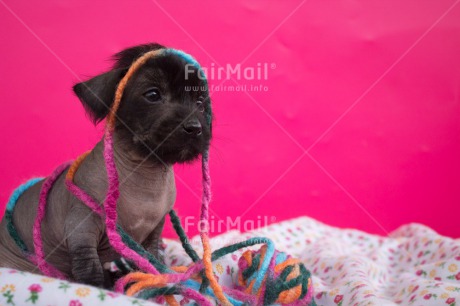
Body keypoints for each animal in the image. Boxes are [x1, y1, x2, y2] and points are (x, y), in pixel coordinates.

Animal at [0, 43, 211, 286]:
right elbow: (89, 268)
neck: (145, 171)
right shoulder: (82, 230)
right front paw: (102, 286)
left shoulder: (152, 235)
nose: (195, 128)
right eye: (153, 95)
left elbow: (151, 262)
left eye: (200, 103)